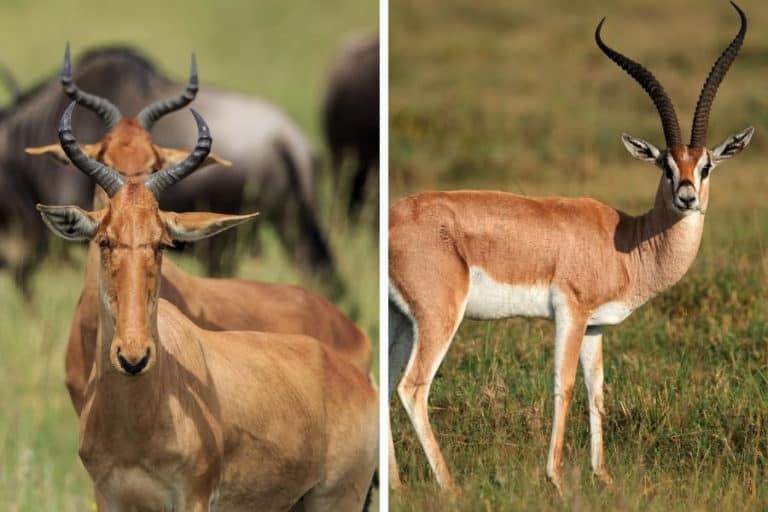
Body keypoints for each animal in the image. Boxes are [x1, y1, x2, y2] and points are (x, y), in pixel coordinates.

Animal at [38, 103, 378, 511]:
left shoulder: (195, 497)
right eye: (105, 239)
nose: (133, 356)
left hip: (341, 497)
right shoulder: (109, 497)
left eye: (162, 242)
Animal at [388, 2, 752, 492]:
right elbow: (562, 386)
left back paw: (396, 485)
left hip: (401, 318)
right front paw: (557, 479)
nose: (687, 197)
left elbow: (596, 390)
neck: (626, 242)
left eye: (707, 166)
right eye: (667, 166)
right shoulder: (571, 312)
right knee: (413, 387)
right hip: (439, 316)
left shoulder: (596, 327)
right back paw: (450, 486)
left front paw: (604, 477)